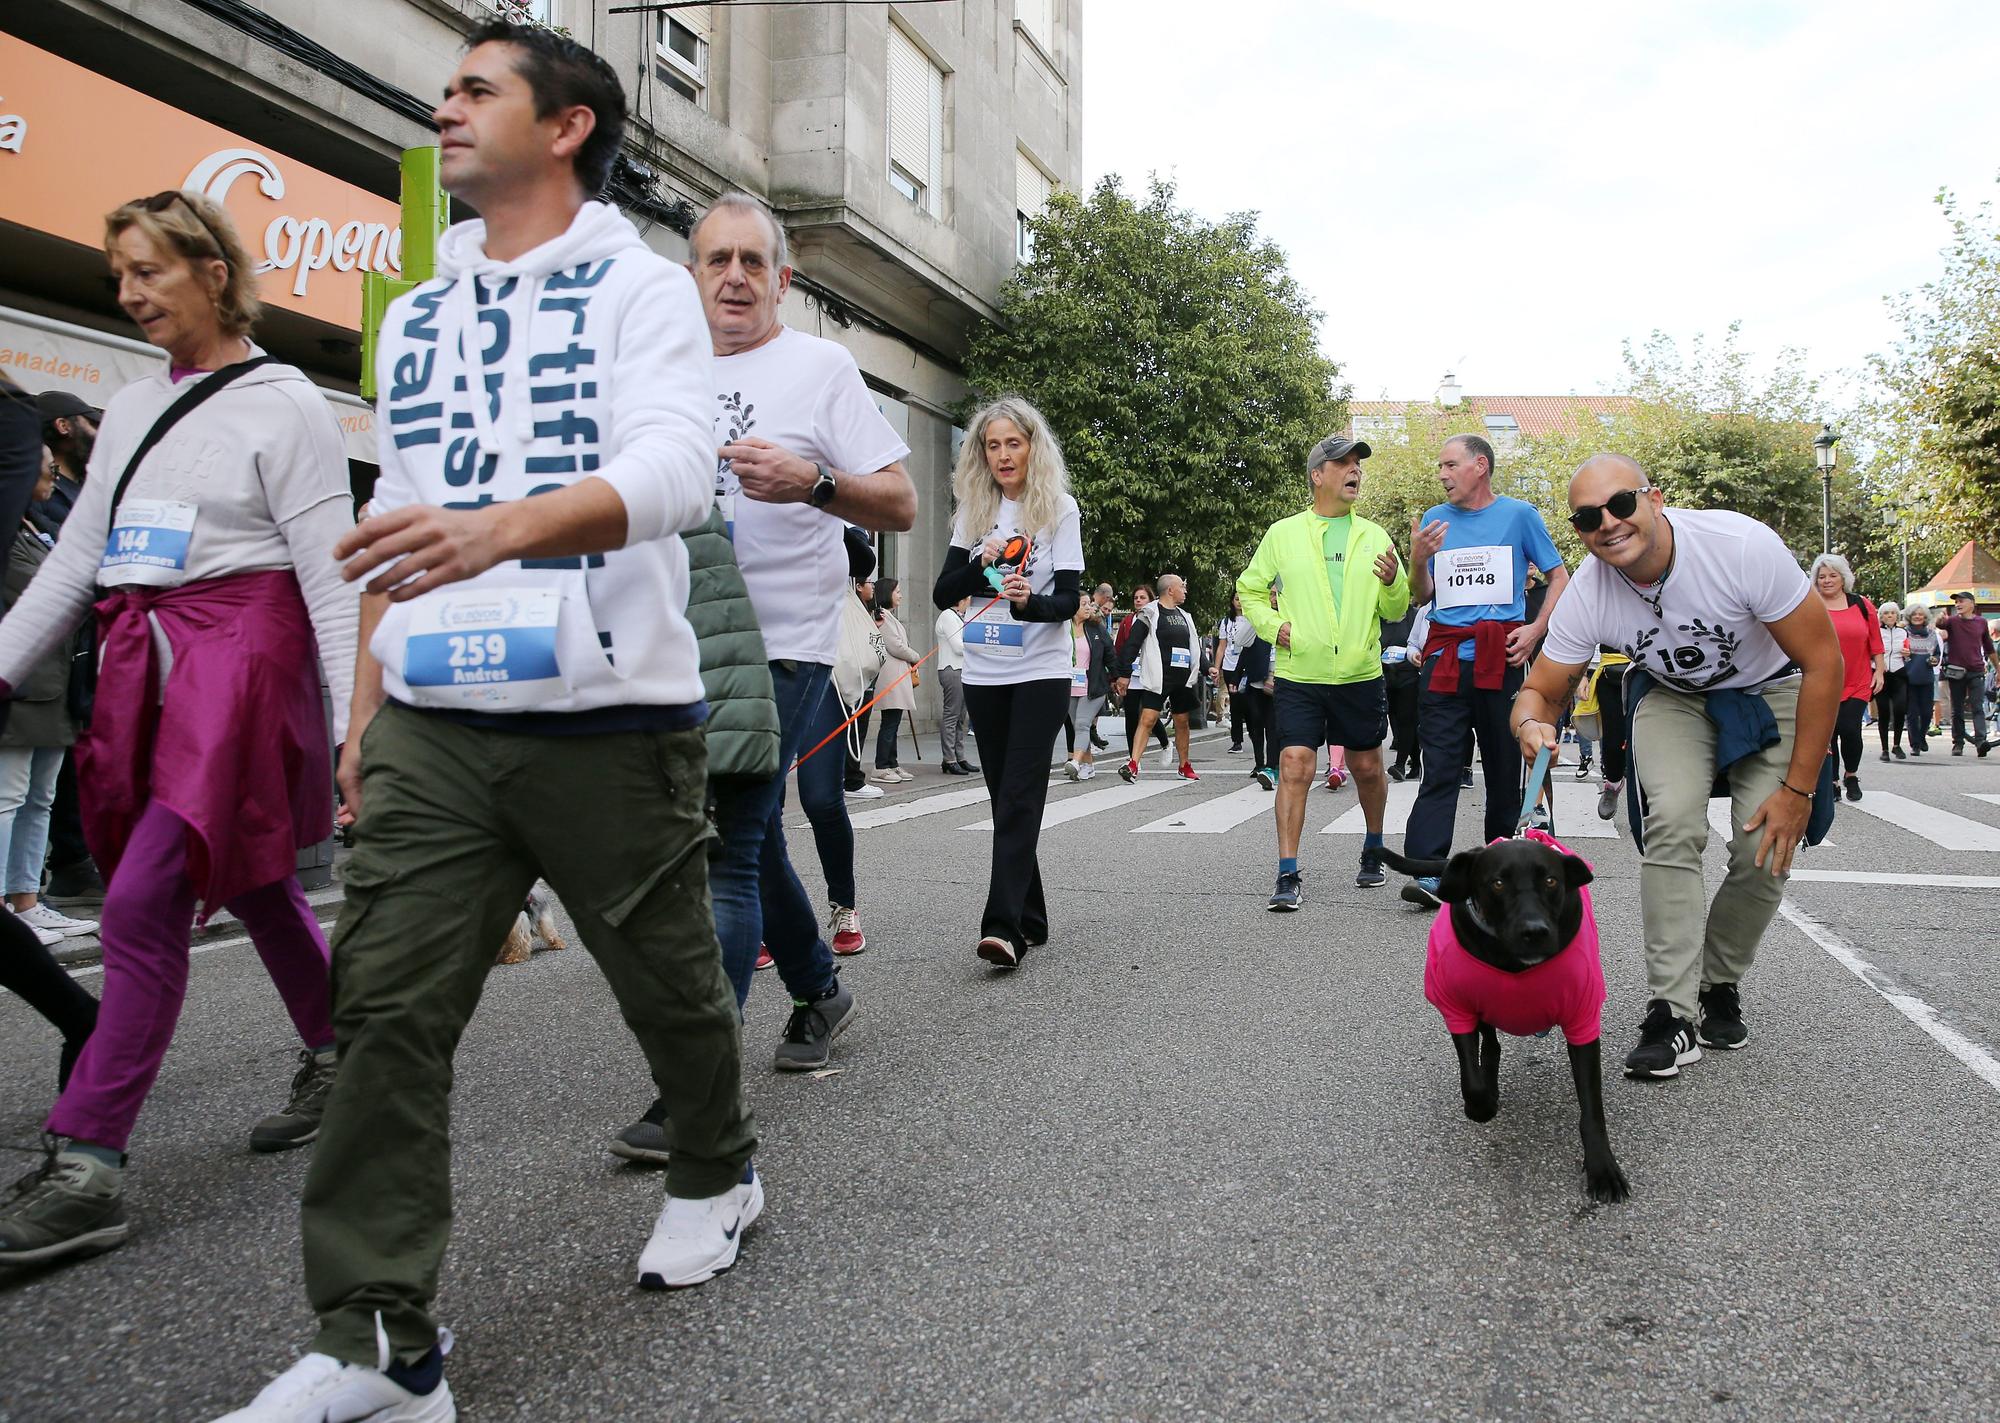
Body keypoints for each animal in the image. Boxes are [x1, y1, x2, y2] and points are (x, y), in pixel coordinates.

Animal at [1384, 839, 1632, 1207]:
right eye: (1497, 883)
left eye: (1551, 881)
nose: (1535, 931)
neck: (1511, 961)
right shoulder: (1457, 1007)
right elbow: (1471, 1077)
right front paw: (1482, 1105)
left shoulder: (1582, 1018)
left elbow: (1592, 1108)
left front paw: (1602, 1168)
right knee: (1491, 1046)